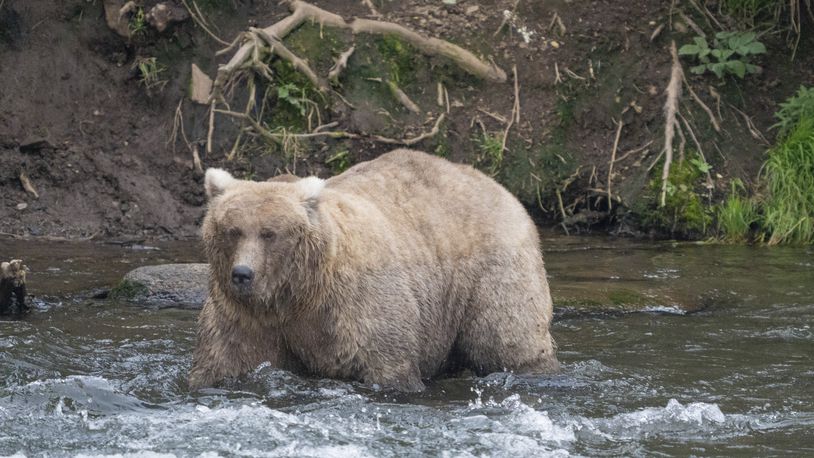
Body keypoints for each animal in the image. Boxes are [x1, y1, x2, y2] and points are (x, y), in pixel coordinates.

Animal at [191, 149, 560, 390]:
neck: (297, 293)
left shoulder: (356, 305)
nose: (242, 274)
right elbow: (226, 359)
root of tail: (497, 185)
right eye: (232, 230)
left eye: (269, 233)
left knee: (506, 336)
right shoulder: (247, 317)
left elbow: (387, 362)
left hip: (491, 270)